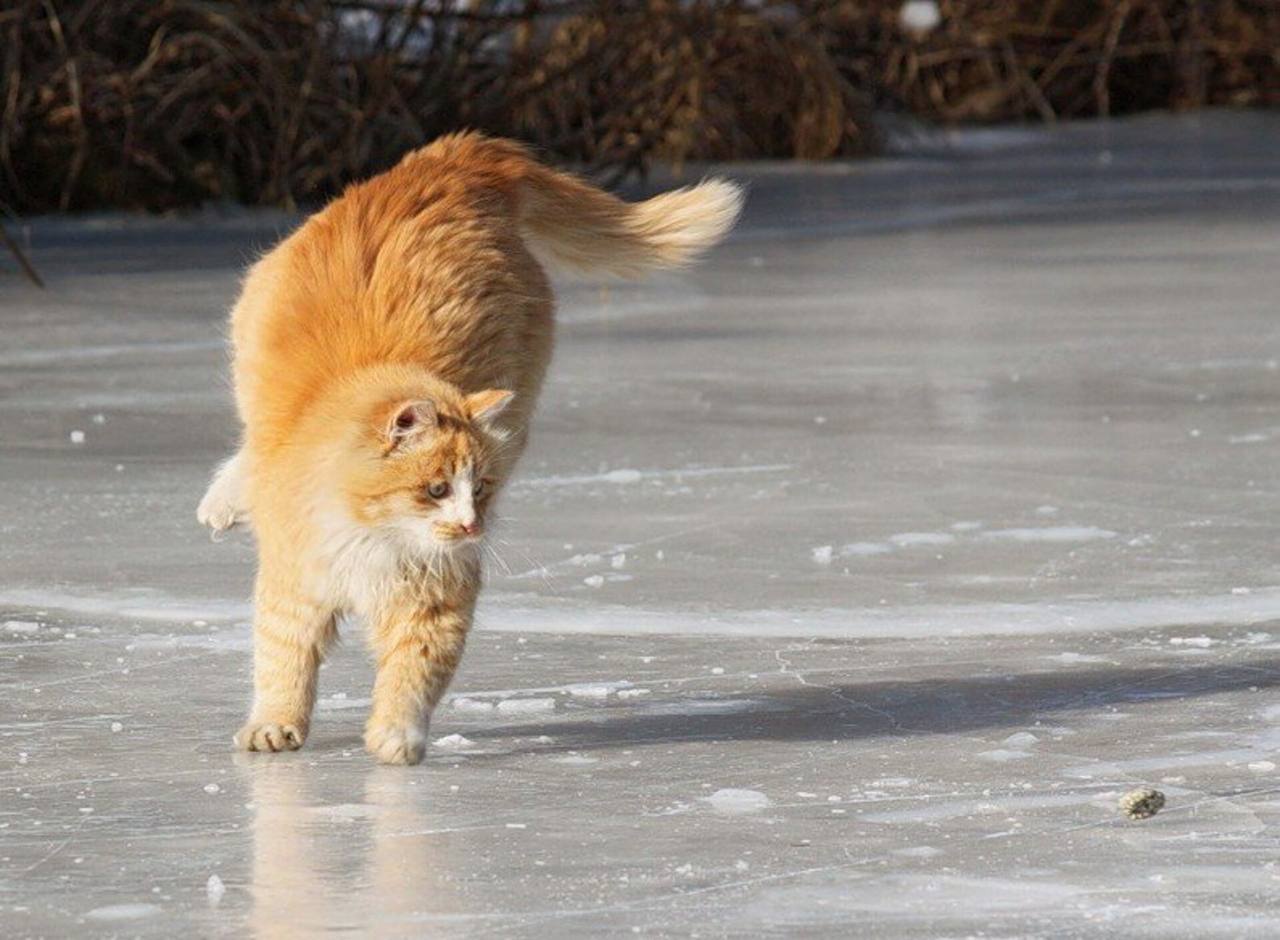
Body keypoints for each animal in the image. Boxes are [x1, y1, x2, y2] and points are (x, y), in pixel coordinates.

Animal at [197, 132, 742, 768]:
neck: (376, 536)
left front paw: (396, 738)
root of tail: (454, 158)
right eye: (435, 488)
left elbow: (412, 676)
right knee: (249, 446)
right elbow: (283, 664)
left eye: (479, 488)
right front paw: (275, 726)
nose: (470, 527)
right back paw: (224, 501)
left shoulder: (436, 602)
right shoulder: (297, 584)